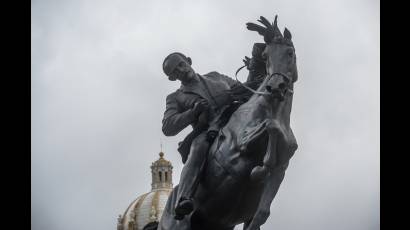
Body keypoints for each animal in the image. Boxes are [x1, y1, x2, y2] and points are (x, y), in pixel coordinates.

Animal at [158, 14, 298, 230]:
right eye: (266, 56)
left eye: (290, 52)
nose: (275, 87)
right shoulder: (235, 154)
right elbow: (269, 127)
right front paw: (262, 166)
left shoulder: (280, 172)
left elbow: (262, 214)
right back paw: (183, 203)